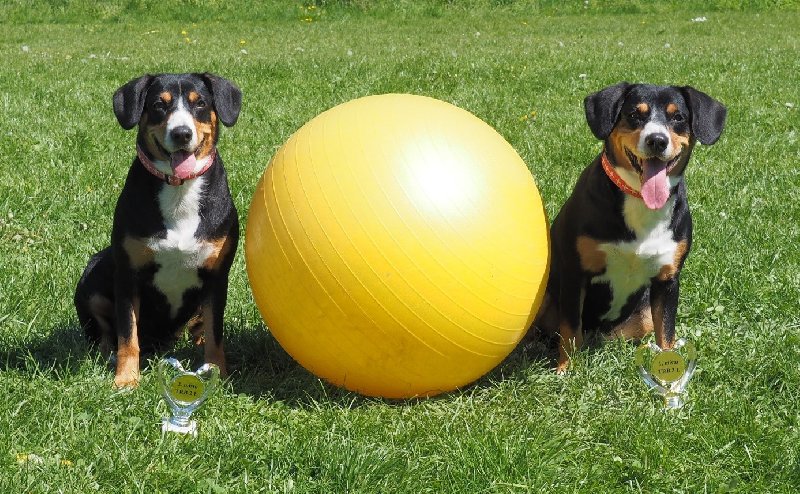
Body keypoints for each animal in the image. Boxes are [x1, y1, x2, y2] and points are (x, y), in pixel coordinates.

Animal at [76, 72, 244, 386]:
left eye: (200, 103)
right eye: (158, 105)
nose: (182, 134)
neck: (178, 190)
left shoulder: (216, 277)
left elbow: (216, 331)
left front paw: (217, 372)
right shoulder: (127, 276)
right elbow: (127, 335)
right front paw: (126, 379)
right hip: (95, 274)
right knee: (103, 332)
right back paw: (105, 355)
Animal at [536, 83, 728, 372]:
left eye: (678, 117)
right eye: (635, 114)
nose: (657, 140)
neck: (639, 200)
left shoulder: (667, 280)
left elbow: (666, 334)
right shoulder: (574, 273)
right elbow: (570, 329)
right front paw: (566, 370)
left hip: (644, 313)